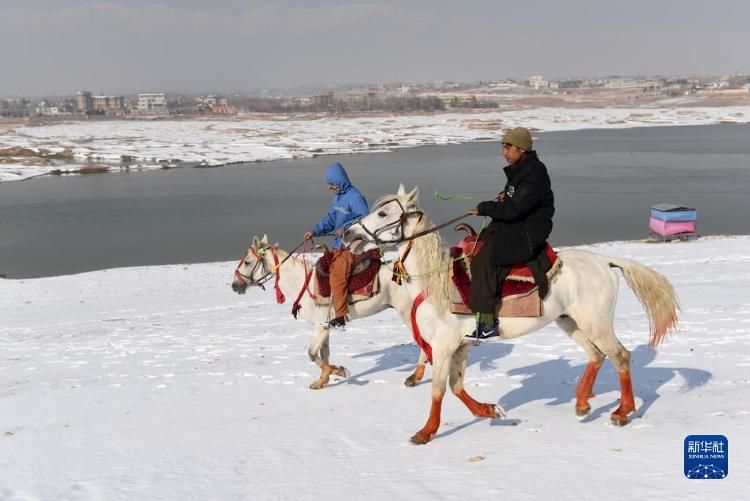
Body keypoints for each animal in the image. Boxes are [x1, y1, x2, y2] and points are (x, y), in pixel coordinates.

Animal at [229, 234, 428, 386]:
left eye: (247, 262)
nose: (234, 285)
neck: (302, 282)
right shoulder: (326, 326)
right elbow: (323, 354)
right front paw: (322, 381)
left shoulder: (321, 326)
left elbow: (312, 354)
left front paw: (340, 371)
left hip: (407, 313)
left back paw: (414, 378)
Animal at [346, 184, 680, 442]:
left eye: (384, 213)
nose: (349, 233)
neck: (436, 283)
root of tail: (605, 262)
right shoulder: (460, 346)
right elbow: (457, 387)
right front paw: (489, 410)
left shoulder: (442, 346)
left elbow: (439, 390)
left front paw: (426, 432)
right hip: (570, 322)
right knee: (596, 355)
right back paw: (583, 403)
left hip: (595, 322)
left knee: (620, 356)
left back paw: (622, 412)